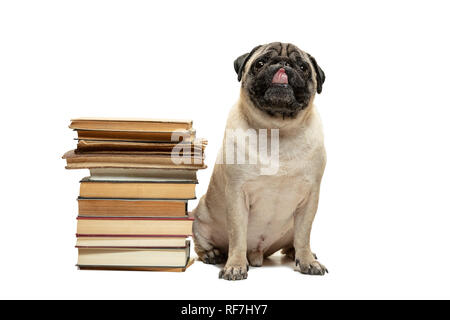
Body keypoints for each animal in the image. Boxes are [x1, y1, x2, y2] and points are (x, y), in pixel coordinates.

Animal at [192, 42, 326, 280]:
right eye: (260, 63)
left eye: (302, 67)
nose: (283, 64)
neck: (278, 131)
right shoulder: (237, 195)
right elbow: (237, 235)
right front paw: (235, 265)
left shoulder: (310, 198)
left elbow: (304, 234)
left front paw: (307, 261)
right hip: (200, 219)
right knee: (203, 243)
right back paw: (212, 254)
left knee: (295, 239)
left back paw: (297, 253)